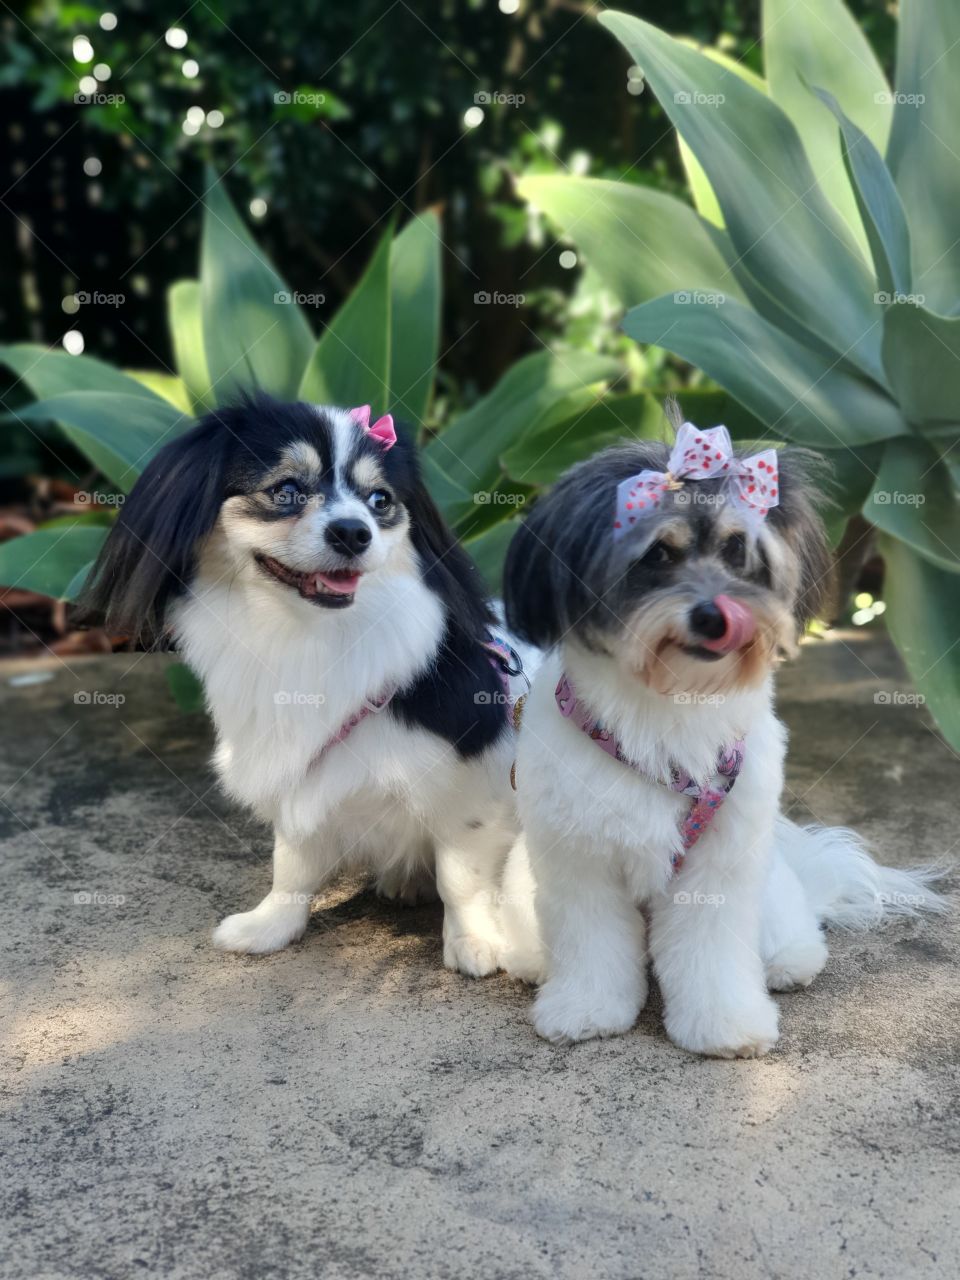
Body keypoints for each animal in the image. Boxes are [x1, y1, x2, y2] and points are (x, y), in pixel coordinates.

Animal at [504, 419, 947, 1059]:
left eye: (738, 550)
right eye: (657, 554)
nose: (716, 616)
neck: (668, 705)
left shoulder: (720, 862)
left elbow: (709, 950)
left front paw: (725, 1023)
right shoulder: (578, 855)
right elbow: (590, 939)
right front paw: (584, 1009)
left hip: (772, 889)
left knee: (790, 936)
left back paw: (789, 962)